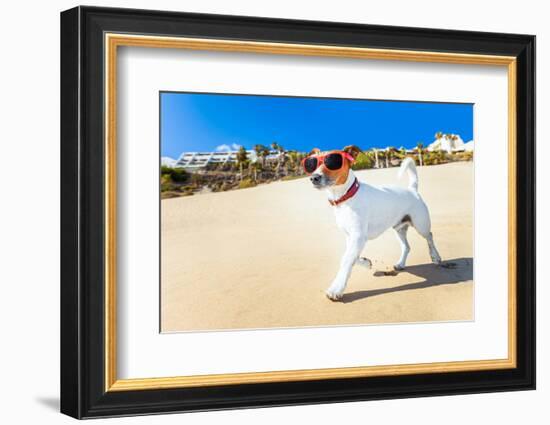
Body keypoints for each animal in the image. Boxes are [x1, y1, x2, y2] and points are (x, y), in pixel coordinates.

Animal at [306, 146, 444, 302]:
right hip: (399, 228)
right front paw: (366, 262)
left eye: (332, 161)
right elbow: (350, 256)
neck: (346, 197)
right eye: (312, 164)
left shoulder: (358, 237)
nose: (313, 177)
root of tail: (412, 190)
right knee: (407, 246)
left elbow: (346, 259)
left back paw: (435, 257)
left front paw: (336, 288)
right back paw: (401, 264)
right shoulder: (351, 237)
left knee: (430, 237)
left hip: (421, 225)